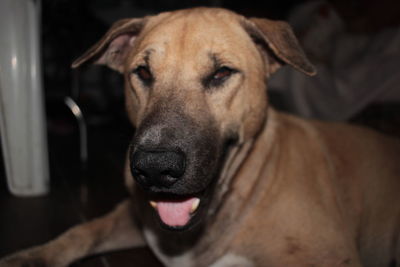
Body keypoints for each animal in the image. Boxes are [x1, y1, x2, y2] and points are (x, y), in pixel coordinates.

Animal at [0, 6, 400, 267]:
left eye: (221, 73)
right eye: (143, 72)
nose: (154, 168)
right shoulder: (132, 216)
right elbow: (82, 231)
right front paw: (28, 257)